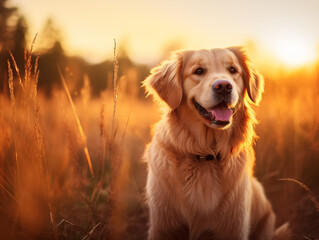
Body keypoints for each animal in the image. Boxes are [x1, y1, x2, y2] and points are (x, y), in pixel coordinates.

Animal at [144, 47, 292, 240]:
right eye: (199, 71)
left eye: (232, 70)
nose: (223, 86)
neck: (206, 155)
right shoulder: (163, 226)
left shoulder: (234, 226)